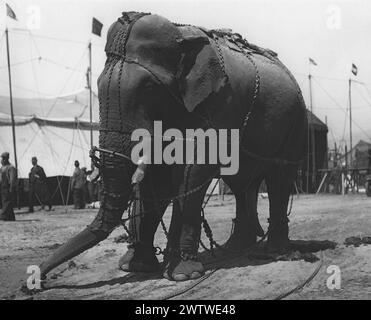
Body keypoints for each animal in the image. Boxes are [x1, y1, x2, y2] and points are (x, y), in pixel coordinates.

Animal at [38, 11, 308, 282]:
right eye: (99, 86)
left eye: (148, 88)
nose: (37, 281)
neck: (182, 38)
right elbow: (157, 178)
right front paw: (135, 267)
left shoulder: (219, 104)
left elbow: (192, 173)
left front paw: (181, 274)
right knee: (241, 184)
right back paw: (235, 248)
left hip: (295, 125)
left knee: (279, 179)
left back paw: (275, 252)